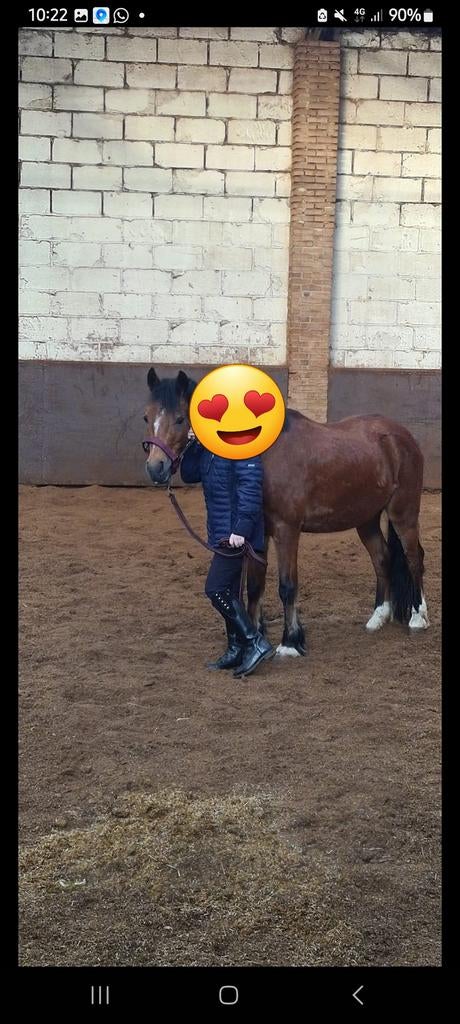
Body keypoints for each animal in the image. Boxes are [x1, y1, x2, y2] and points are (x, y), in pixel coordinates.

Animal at [143, 367, 429, 657]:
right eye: (147, 416)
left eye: (180, 419)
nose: (156, 467)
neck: (266, 458)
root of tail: (400, 435)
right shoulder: (257, 534)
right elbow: (255, 585)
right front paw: (257, 637)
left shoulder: (286, 530)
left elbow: (287, 586)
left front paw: (290, 642)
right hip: (366, 518)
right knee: (382, 558)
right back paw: (378, 617)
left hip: (403, 513)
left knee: (414, 557)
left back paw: (418, 618)